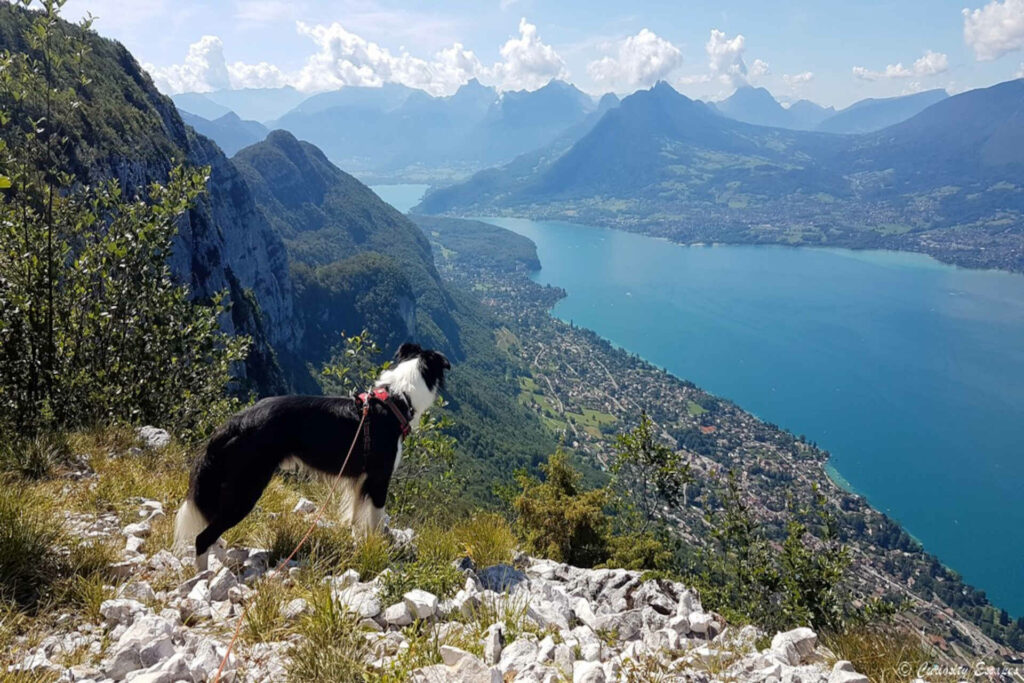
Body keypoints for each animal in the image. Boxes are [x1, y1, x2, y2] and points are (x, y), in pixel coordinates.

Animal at [174, 344, 450, 565]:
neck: (395, 399)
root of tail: (234, 422)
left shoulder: (359, 481)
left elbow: (355, 519)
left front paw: (358, 545)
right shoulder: (379, 478)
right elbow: (375, 521)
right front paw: (378, 549)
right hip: (247, 489)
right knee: (202, 537)